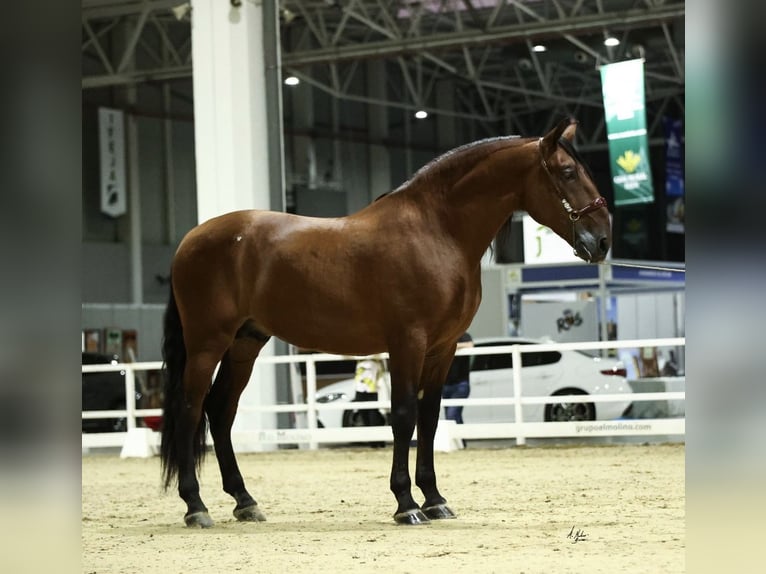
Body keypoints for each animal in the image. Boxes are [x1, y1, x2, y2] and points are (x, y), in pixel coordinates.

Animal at [160, 118, 612, 532]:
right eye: (568, 173)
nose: (604, 239)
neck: (437, 230)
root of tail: (190, 240)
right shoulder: (407, 342)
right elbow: (404, 415)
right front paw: (406, 504)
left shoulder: (443, 347)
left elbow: (429, 417)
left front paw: (435, 500)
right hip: (207, 343)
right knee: (190, 409)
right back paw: (195, 506)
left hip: (245, 343)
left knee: (220, 411)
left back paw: (245, 501)